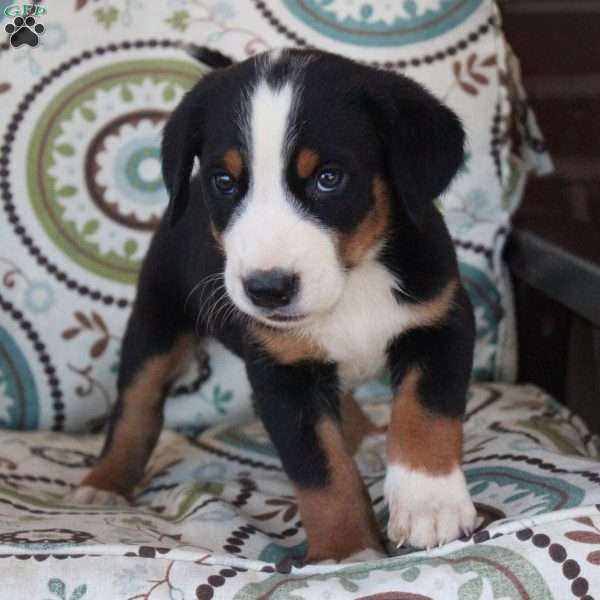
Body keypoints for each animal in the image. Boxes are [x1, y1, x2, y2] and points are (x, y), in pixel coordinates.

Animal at [72, 47, 476, 564]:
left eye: (329, 178)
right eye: (225, 181)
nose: (266, 288)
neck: (352, 282)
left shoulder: (440, 322)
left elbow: (425, 416)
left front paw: (430, 504)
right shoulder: (279, 371)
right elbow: (321, 470)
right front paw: (346, 552)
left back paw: (365, 437)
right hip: (157, 317)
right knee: (136, 404)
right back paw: (104, 483)